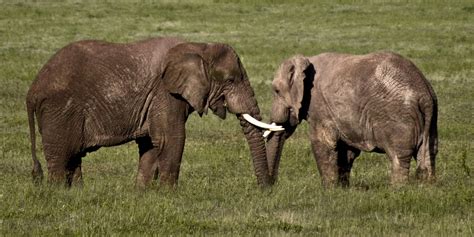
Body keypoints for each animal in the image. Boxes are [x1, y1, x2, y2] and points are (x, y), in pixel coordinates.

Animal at [26, 37, 278, 189]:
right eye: (230, 80)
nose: (266, 189)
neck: (198, 47)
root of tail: (32, 90)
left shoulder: (155, 99)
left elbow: (150, 144)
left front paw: (142, 194)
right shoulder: (165, 93)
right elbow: (171, 139)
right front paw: (170, 195)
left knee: (73, 157)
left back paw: (78, 193)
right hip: (59, 110)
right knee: (61, 156)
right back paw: (59, 194)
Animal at [264, 51, 438, 187]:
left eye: (276, 91)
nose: (272, 185)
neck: (307, 60)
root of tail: (424, 94)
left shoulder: (319, 107)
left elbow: (323, 143)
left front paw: (328, 190)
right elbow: (346, 150)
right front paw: (343, 189)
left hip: (398, 117)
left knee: (399, 156)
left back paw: (397, 189)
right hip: (431, 117)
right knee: (429, 152)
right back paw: (426, 187)